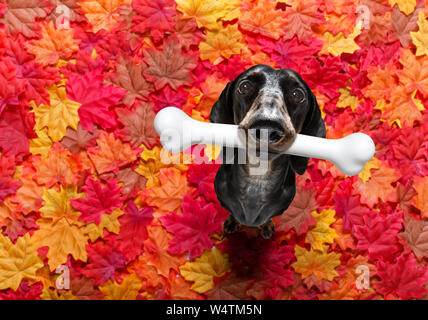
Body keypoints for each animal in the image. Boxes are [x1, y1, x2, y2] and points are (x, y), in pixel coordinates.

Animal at [209, 65, 326, 239]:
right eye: (245, 86)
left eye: (297, 94)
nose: (267, 129)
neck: (257, 180)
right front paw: (231, 222)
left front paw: (266, 226)